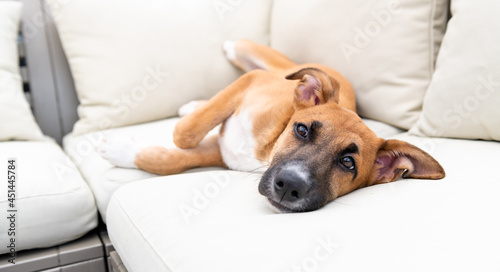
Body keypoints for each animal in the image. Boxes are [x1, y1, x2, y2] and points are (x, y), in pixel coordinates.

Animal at [98, 39, 446, 212]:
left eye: (348, 162)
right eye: (302, 130)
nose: (289, 186)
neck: (267, 148)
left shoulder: (221, 153)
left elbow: (172, 158)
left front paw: (121, 150)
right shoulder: (247, 83)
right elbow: (184, 134)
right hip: (272, 69)